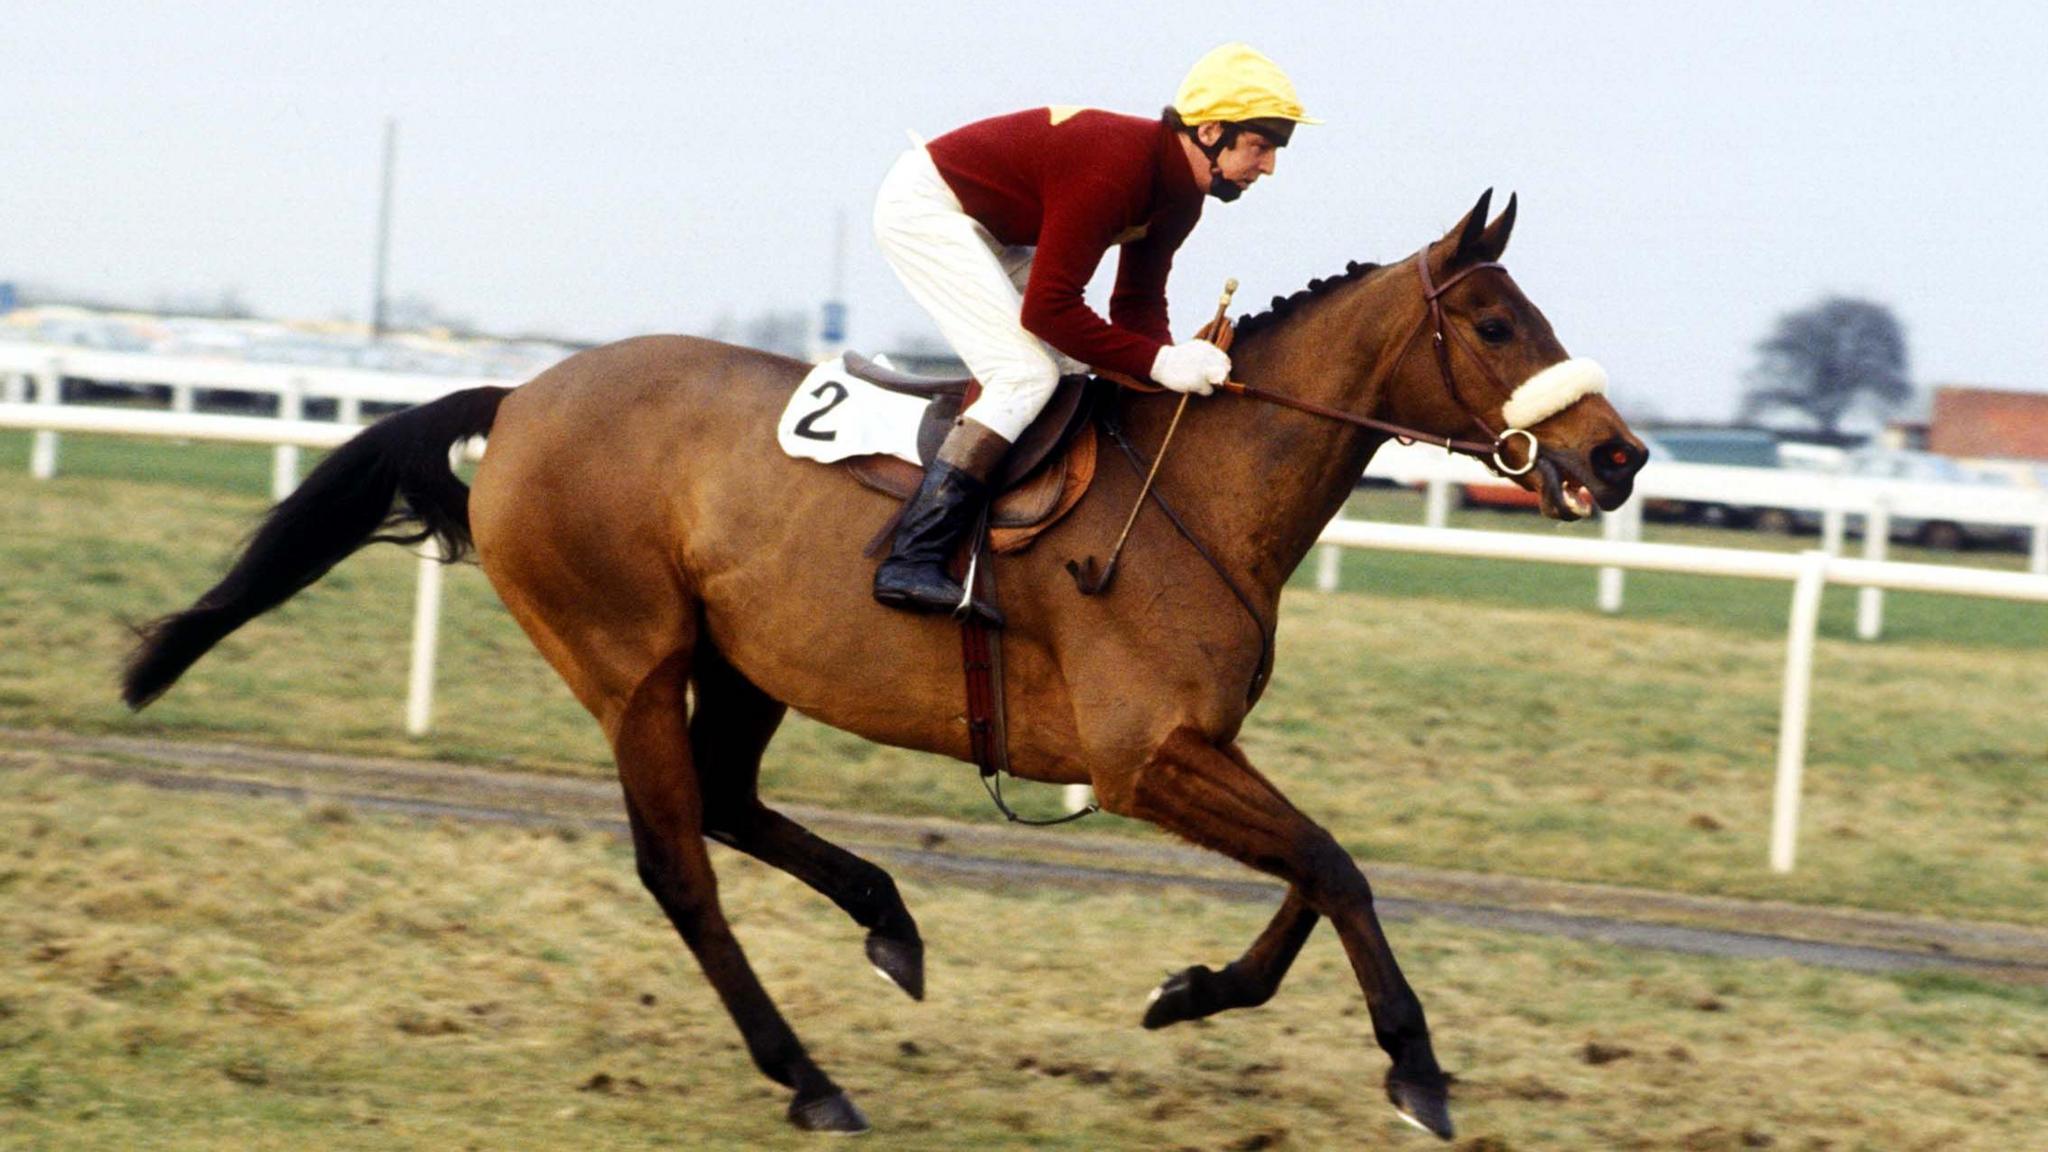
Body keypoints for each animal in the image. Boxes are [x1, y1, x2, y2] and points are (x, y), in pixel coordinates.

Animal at [119, 190, 1646, 1139]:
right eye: (1498, 323)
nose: (1620, 456)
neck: (1195, 493)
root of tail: (528, 391)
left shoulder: (1186, 753)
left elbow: (1318, 870)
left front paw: (1195, 993)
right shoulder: (1144, 760)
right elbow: (1332, 865)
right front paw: (1417, 1068)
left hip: (744, 660)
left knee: (729, 803)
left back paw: (888, 918)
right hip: (628, 665)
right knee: (679, 865)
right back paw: (807, 1077)